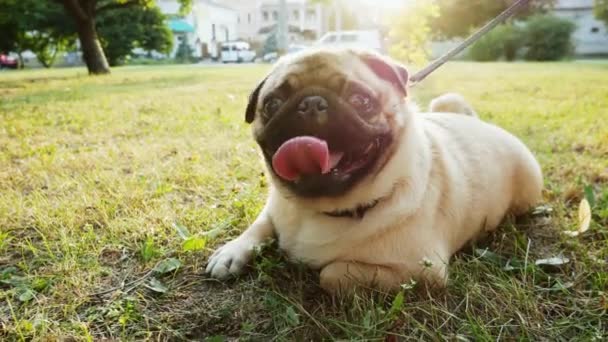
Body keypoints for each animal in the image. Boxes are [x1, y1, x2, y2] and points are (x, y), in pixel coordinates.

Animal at [204, 48, 540, 294]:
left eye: (360, 100)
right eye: (272, 103)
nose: (311, 103)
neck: (323, 210)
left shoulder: (420, 271)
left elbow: (331, 272)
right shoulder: (276, 208)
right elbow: (258, 227)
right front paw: (230, 253)